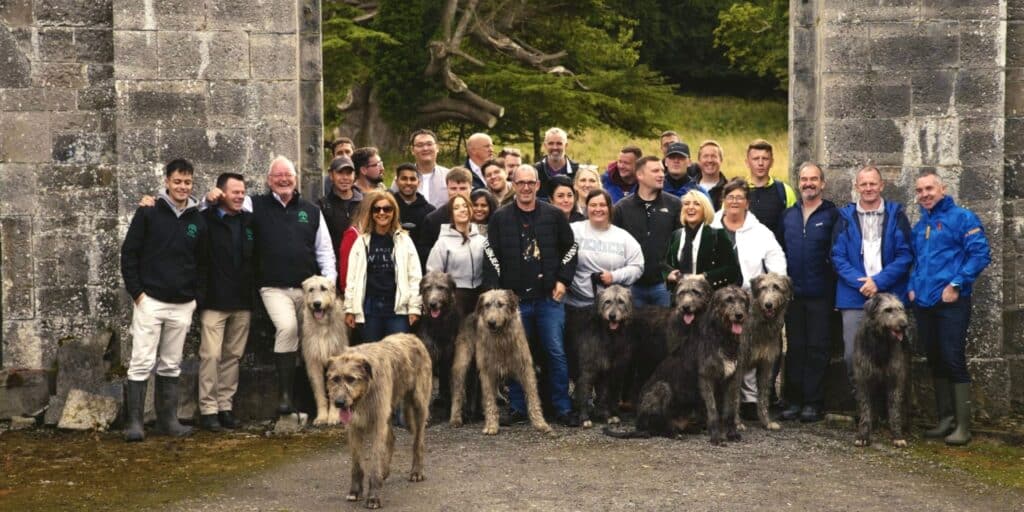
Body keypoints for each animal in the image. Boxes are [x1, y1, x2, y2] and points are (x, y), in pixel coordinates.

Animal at [565, 284, 634, 428]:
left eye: (621, 301)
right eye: (607, 301)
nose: (612, 316)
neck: (607, 333)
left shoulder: (606, 371)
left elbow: (604, 394)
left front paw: (607, 416)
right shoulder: (587, 370)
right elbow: (585, 393)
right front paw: (584, 418)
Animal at [851, 294, 909, 446]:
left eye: (900, 308)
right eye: (887, 310)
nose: (904, 325)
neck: (881, 342)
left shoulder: (895, 378)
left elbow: (894, 409)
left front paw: (897, 435)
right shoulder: (864, 379)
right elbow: (866, 408)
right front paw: (863, 436)